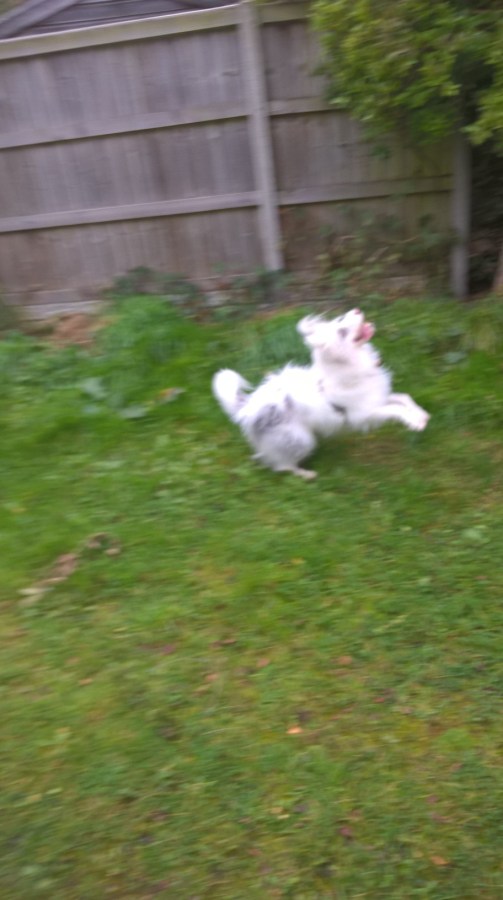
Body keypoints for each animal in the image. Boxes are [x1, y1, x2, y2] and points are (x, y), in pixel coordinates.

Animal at [212, 308, 430, 479]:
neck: (350, 366)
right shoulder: (363, 415)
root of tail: (246, 408)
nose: (357, 310)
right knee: (282, 466)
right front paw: (414, 422)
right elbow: (395, 409)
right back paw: (305, 474)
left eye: (341, 319)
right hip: (301, 439)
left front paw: (420, 415)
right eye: (342, 331)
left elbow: (403, 398)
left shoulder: (379, 399)